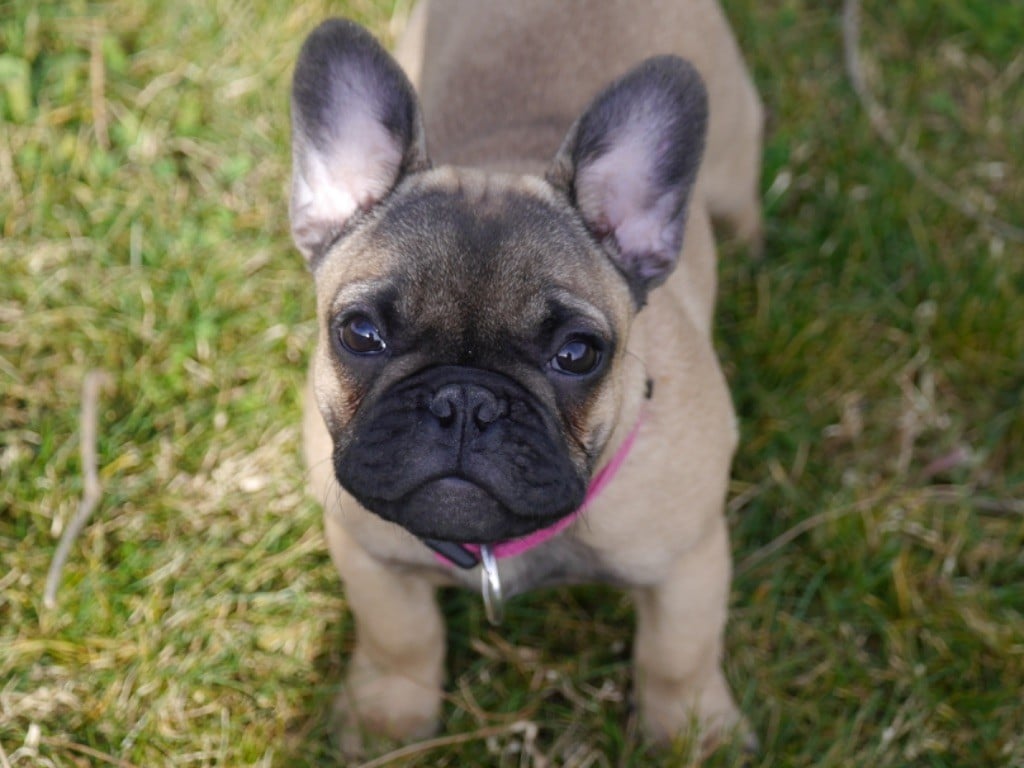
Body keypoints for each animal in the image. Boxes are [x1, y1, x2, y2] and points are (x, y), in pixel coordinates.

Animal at [292, 0, 765, 753]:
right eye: (360, 333)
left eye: (578, 354)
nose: (464, 401)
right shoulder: (366, 552)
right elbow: (400, 636)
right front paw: (389, 720)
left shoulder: (688, 562)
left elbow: (678, 656)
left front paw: (697, 735)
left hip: (731, 157)